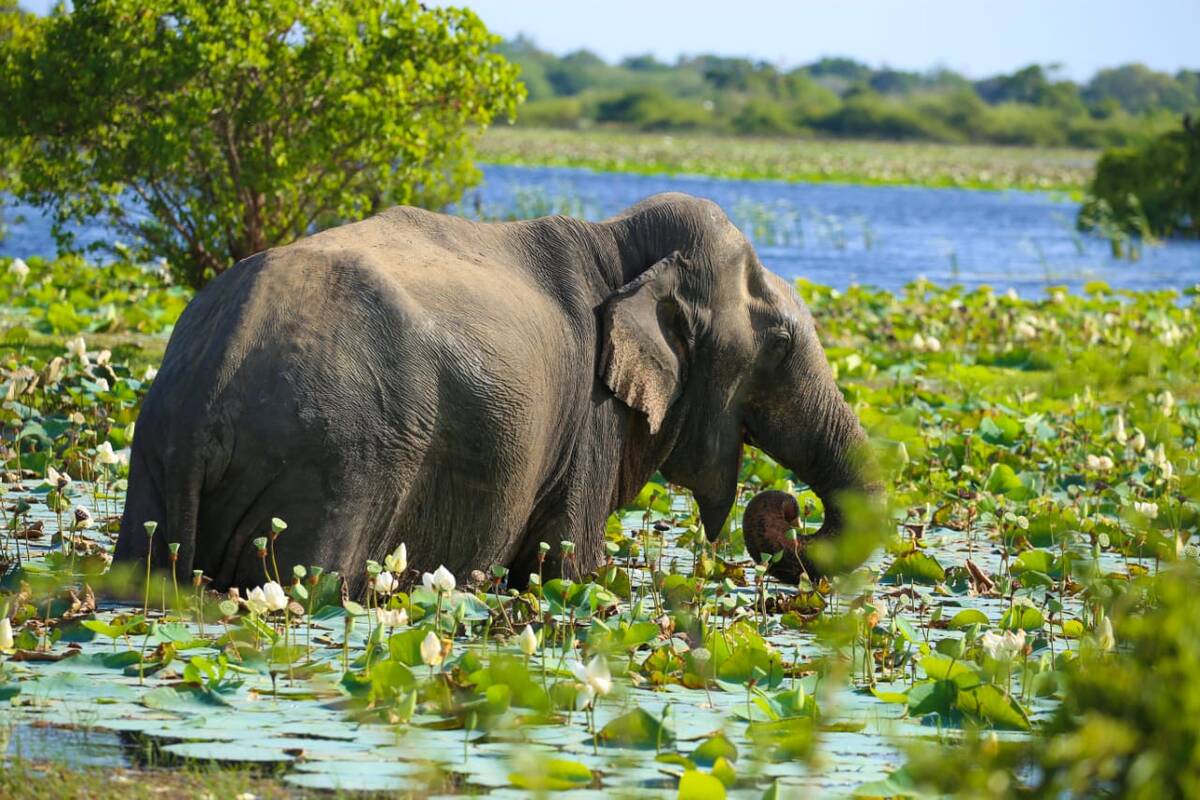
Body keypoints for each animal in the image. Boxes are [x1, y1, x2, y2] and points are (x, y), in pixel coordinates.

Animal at [114, 192, 871, 595]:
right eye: (780, 344)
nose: (786, 507)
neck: (622, 244)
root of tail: (211, 387)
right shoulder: (590, 421)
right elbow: (564, 573)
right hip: (334, 468)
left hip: (152, 465)